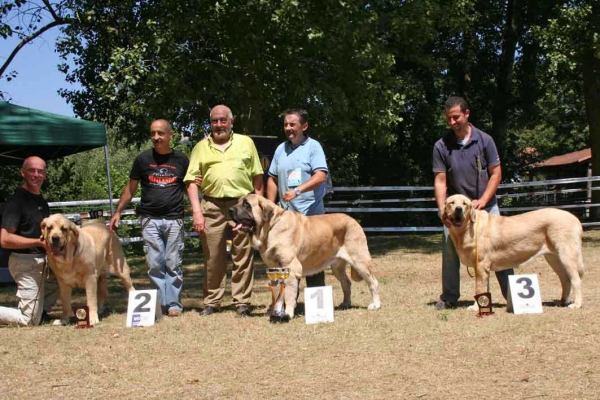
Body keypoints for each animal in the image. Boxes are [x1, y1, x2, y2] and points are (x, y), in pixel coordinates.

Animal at [230, 194, 380, 318]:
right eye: (238, 202)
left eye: (246, 205)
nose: (230, 210)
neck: (271, 227)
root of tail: (353, 220)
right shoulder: (274, 268)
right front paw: (275, 310)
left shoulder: (291, 268)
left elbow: (289, 294)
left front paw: (287, 313)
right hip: (337, 267)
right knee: (346, 283)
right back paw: (346, 303)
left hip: (360, 262)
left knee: (373, 282)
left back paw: (376, 304)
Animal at [442, 195, 584, 308]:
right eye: (451, 203)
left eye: (464, 203)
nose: (458, 209)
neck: (466, 229)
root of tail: (574, 218)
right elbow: (484, 288)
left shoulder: (481, 265)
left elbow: (479, 289)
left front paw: (476, 307)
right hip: (553, 258)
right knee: (565, 279)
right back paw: (562, 301)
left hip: (567, 255)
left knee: (576, 280)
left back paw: (576, 304)